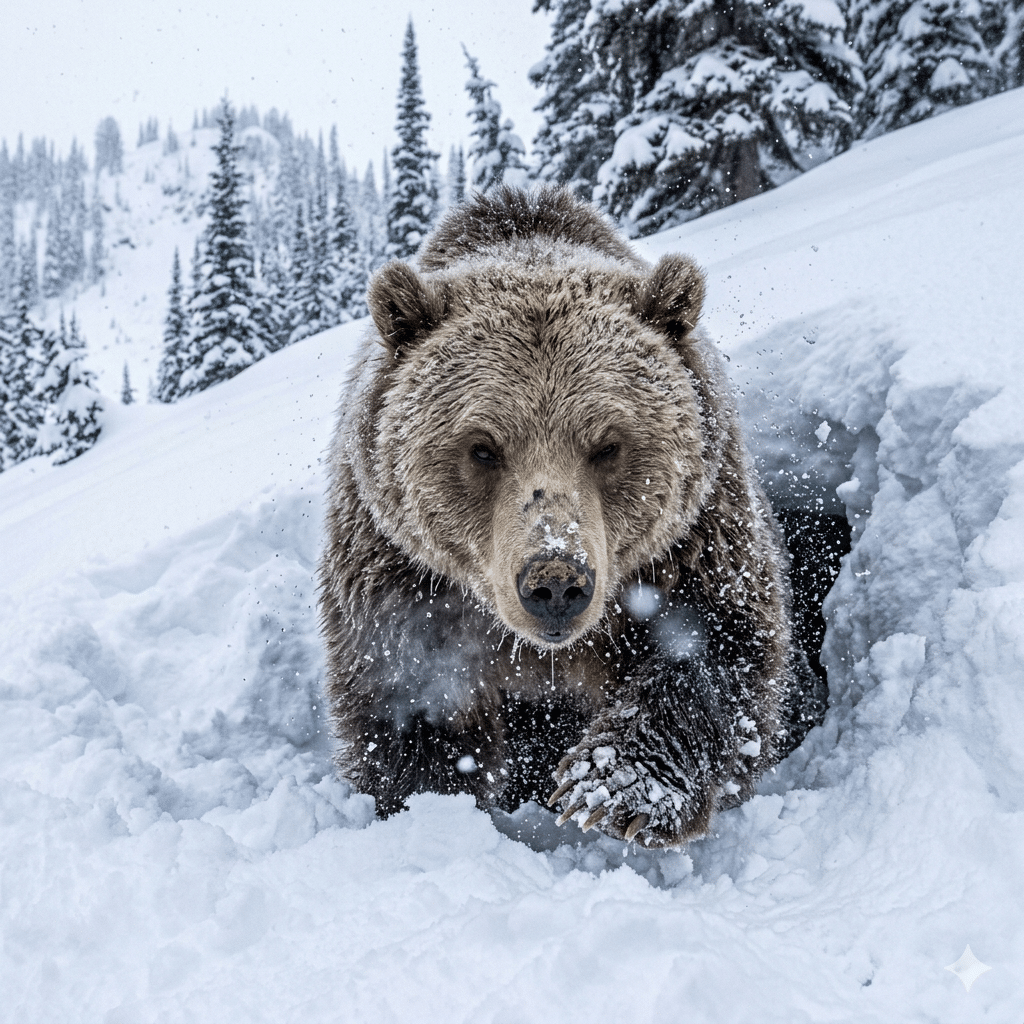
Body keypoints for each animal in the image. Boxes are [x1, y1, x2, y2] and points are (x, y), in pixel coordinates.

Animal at [318, 186, 824, 848]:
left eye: (607, 445)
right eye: (483, 447)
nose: (555, 582)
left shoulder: (695, 535)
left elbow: (717, 641)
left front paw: (615, 788)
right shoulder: (402, 583)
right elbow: (409, 702)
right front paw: (434, 811)